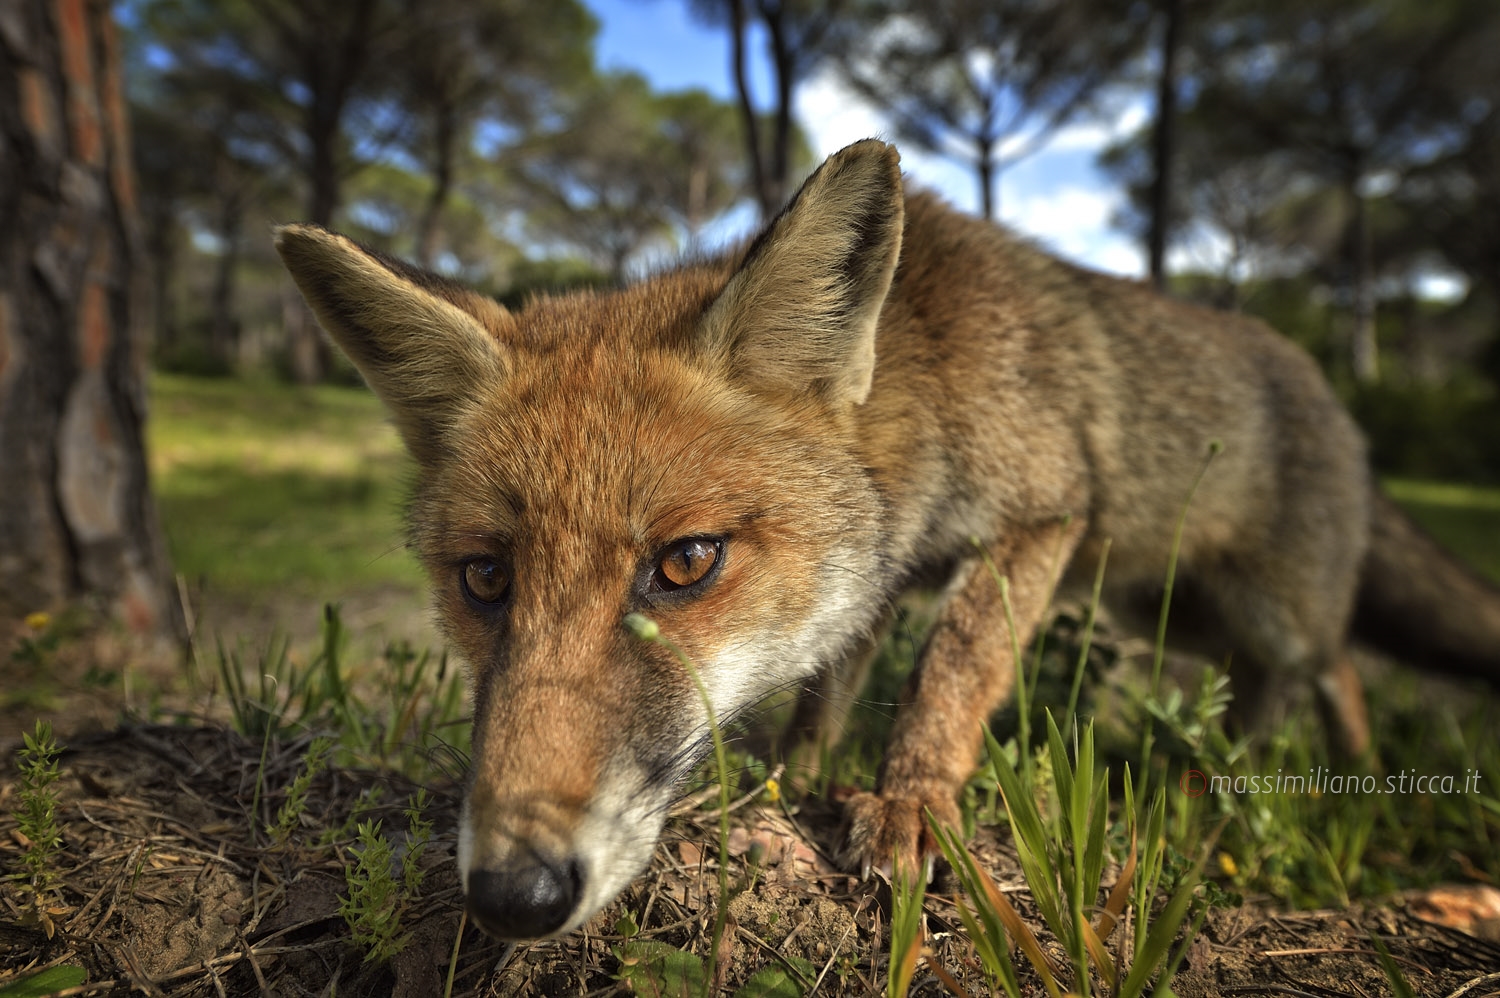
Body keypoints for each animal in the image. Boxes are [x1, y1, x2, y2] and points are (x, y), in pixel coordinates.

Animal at [274, 140, 1500, 941]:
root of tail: (1330, 391)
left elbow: (950, 672)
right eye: (485, 578)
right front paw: (792, 785)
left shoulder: (1042, 512)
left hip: (1248, 606)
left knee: (1329, 663)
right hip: (1178, 611)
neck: (927, 382)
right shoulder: (875, 575)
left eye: (685, 563)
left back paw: (1312, 778)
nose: (513, 896)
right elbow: (829, 687)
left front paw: (911, 803)